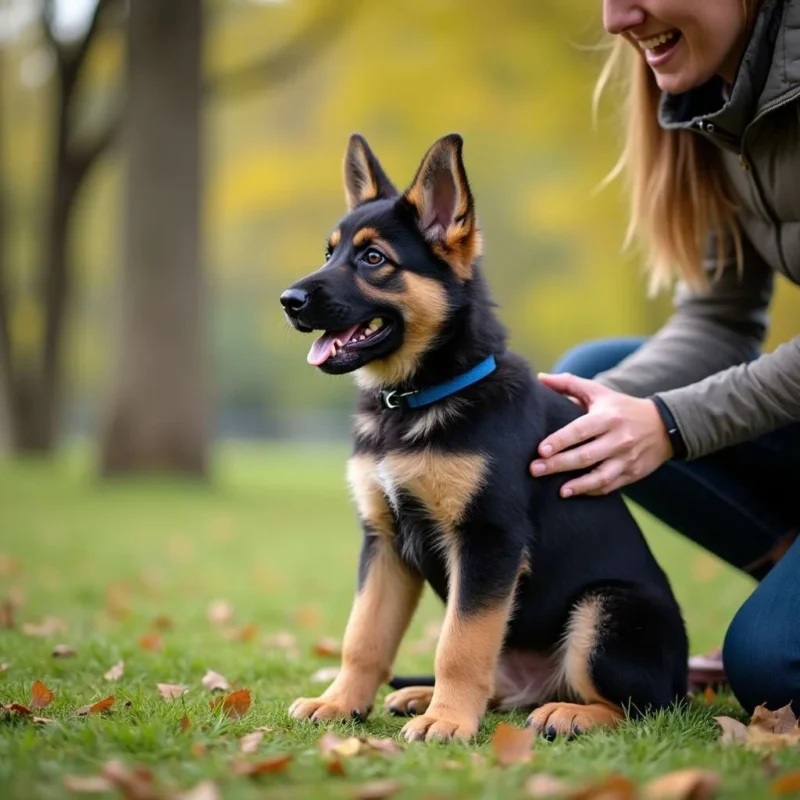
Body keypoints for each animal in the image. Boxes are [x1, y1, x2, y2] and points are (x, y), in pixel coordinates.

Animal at [282, 134, 688, 740]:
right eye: (328, 253)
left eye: (374, 259)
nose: (288, 301)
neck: (418, 396)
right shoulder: (383, 541)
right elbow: (364, 636)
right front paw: (340, 703)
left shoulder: (488, 541)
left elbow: (460, 642)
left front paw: (447, 722)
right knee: (506, 689)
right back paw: (423, 696)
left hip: (607, 609)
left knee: (644, 707)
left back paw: (569, 713)